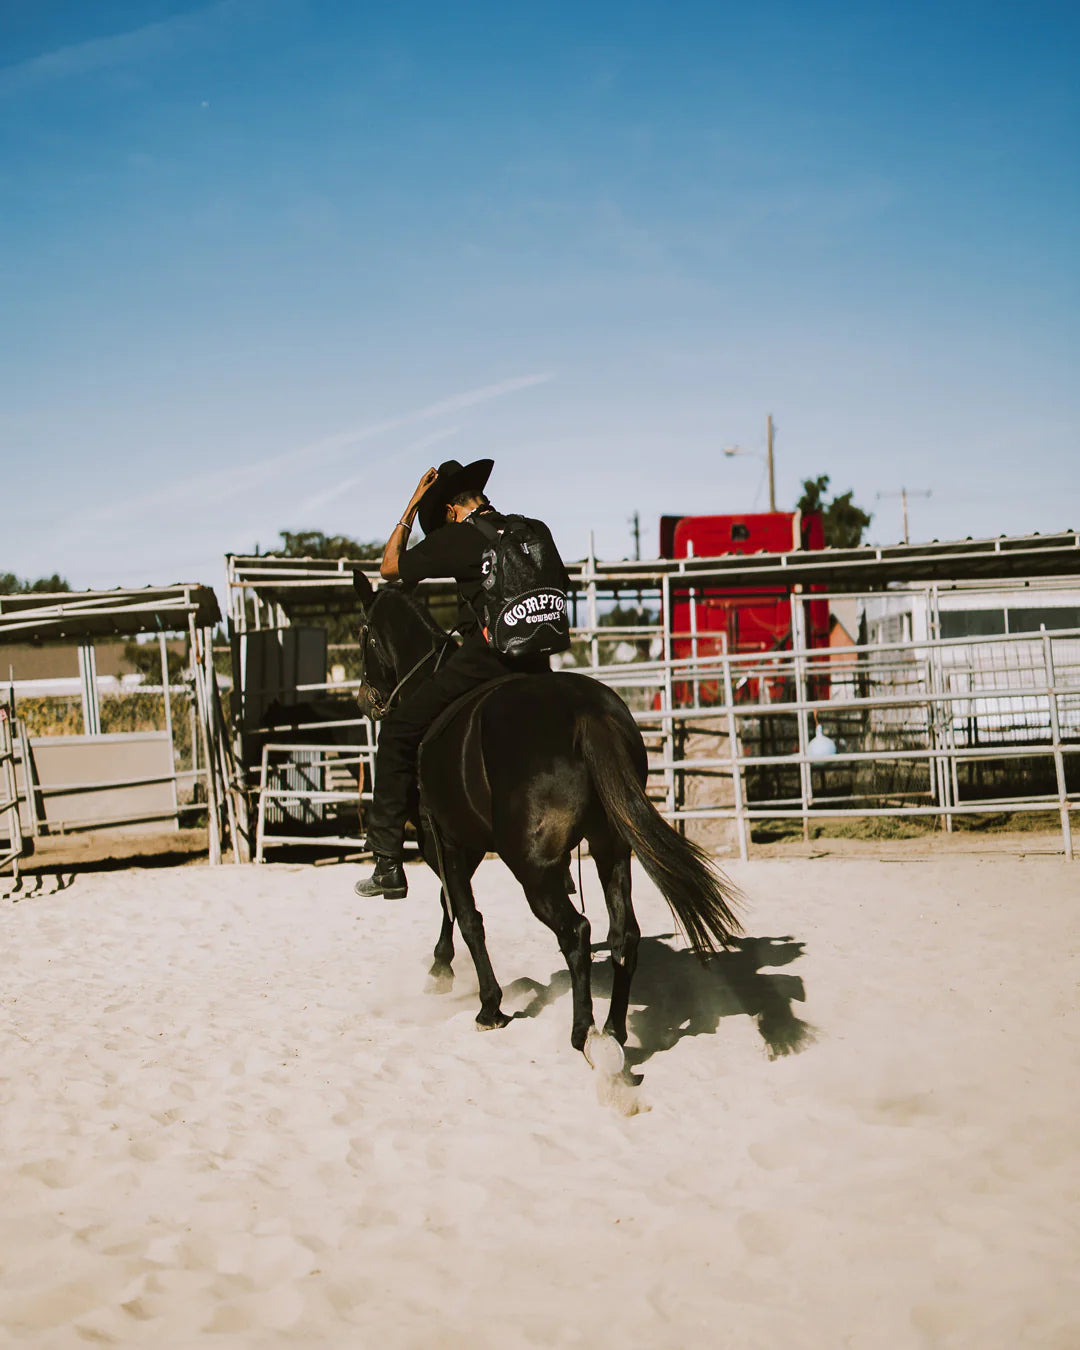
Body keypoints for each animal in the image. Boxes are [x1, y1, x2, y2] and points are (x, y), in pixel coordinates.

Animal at [353, 575, 745, 1058]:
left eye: (364, 635)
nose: (365, 700)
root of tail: (585, 711)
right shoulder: (467, 844)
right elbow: (453, 903)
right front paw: (442, 970)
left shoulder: (442, 839)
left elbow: (467, 916)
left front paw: (487, 1005)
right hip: (610, 848)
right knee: (624, 935)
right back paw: (613, 1032)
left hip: (532, 867)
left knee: (575, 932)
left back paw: (583, 1033)